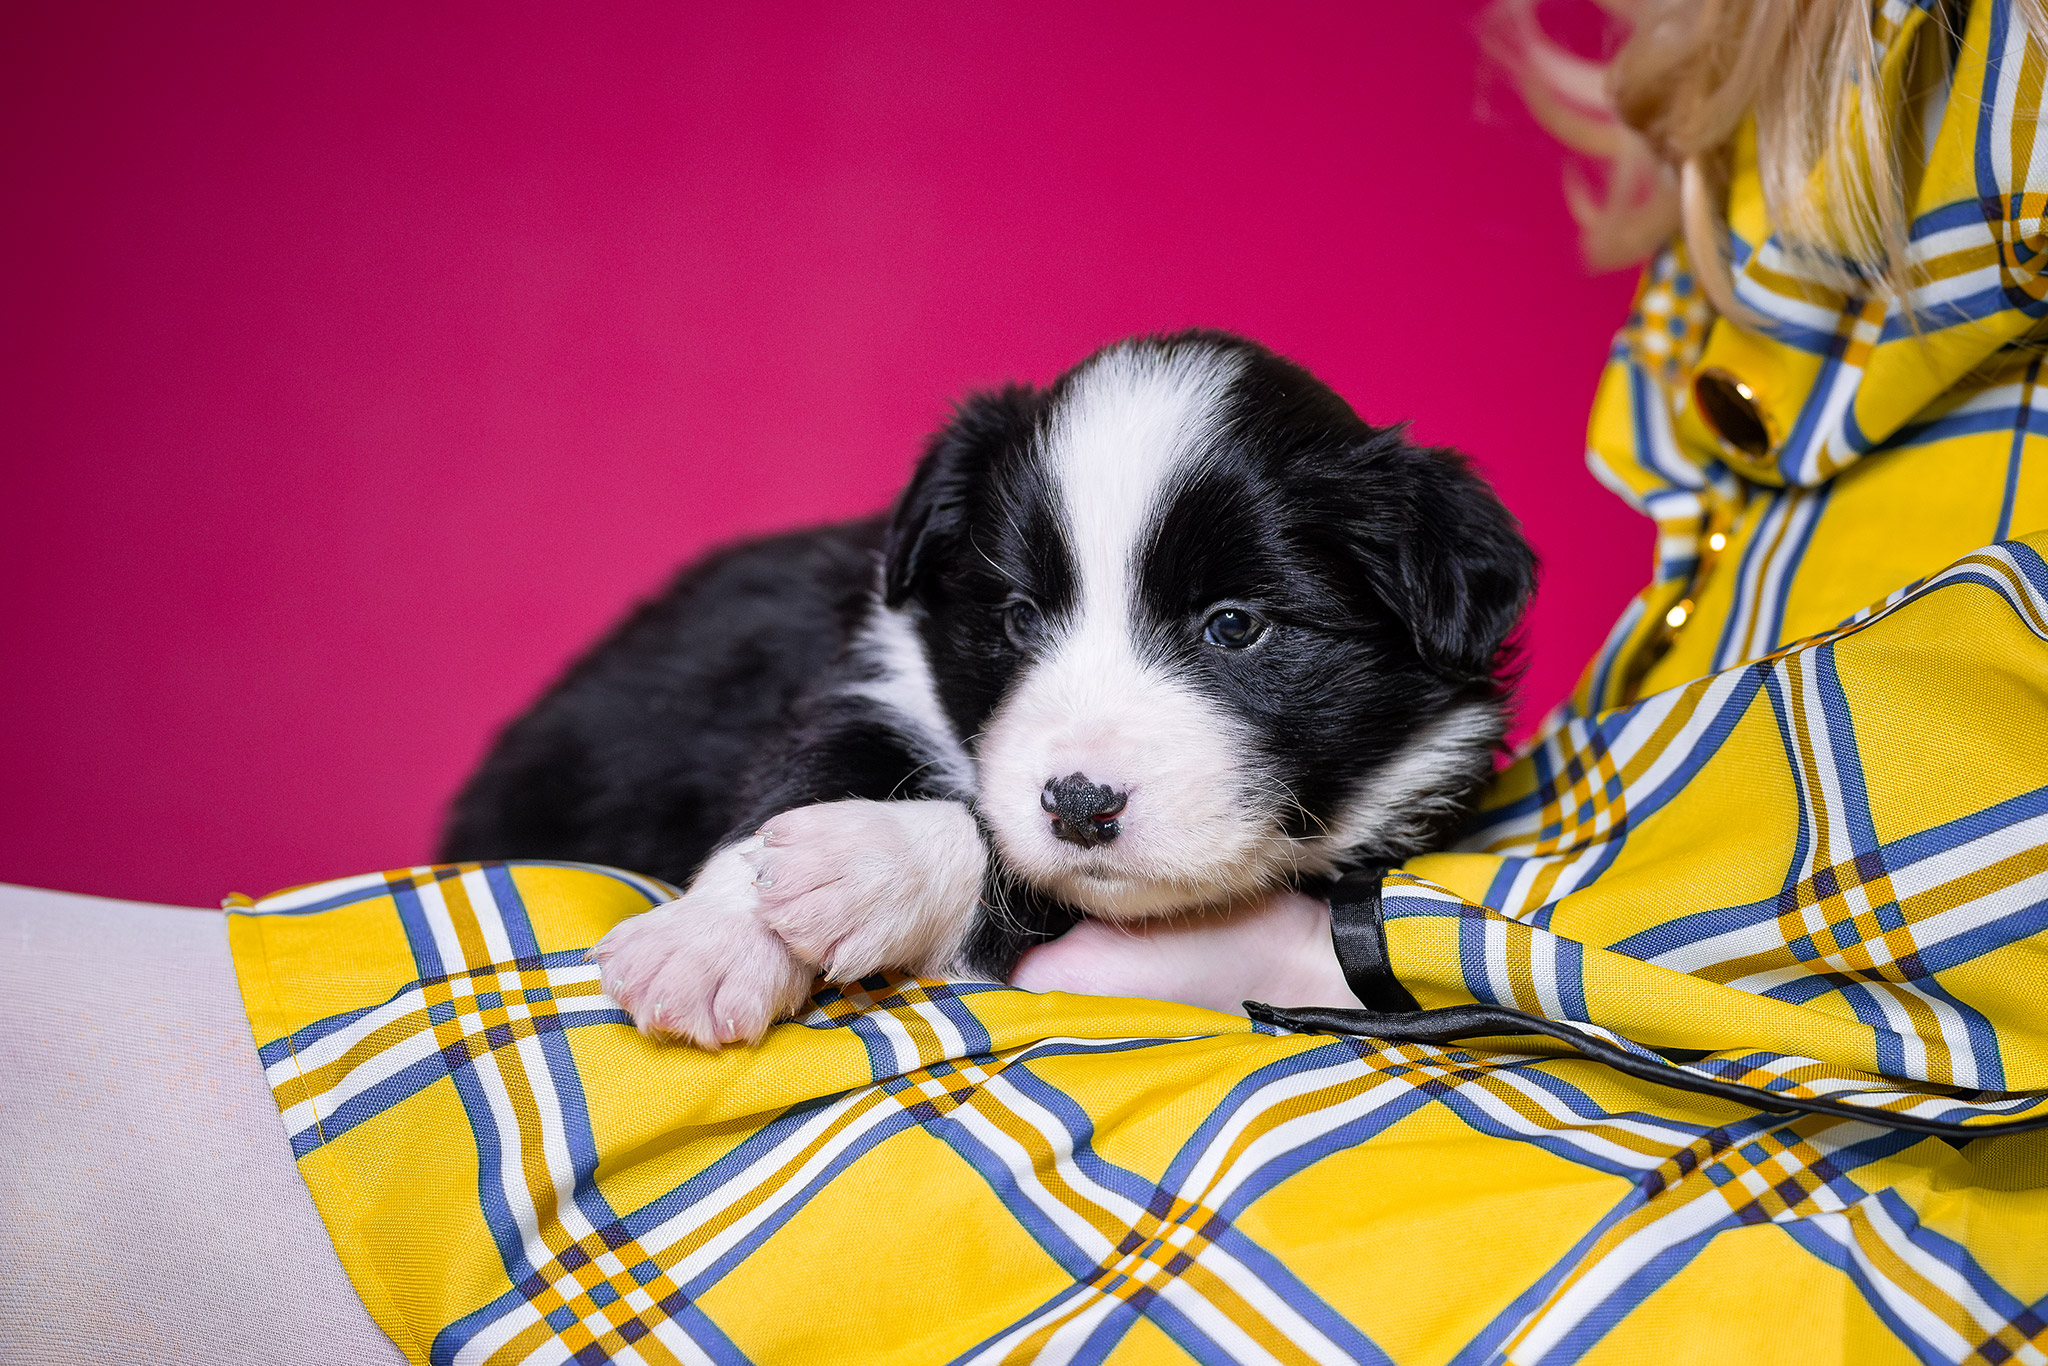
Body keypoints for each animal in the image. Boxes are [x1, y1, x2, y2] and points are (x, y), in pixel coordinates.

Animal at [448, 327, 1540, 1048]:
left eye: (1235, 626)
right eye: (1015, 618)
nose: (1081, 804)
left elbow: (1012, 864)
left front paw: (863, 863)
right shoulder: (876, 676)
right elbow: (802, 777)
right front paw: (714, 936)